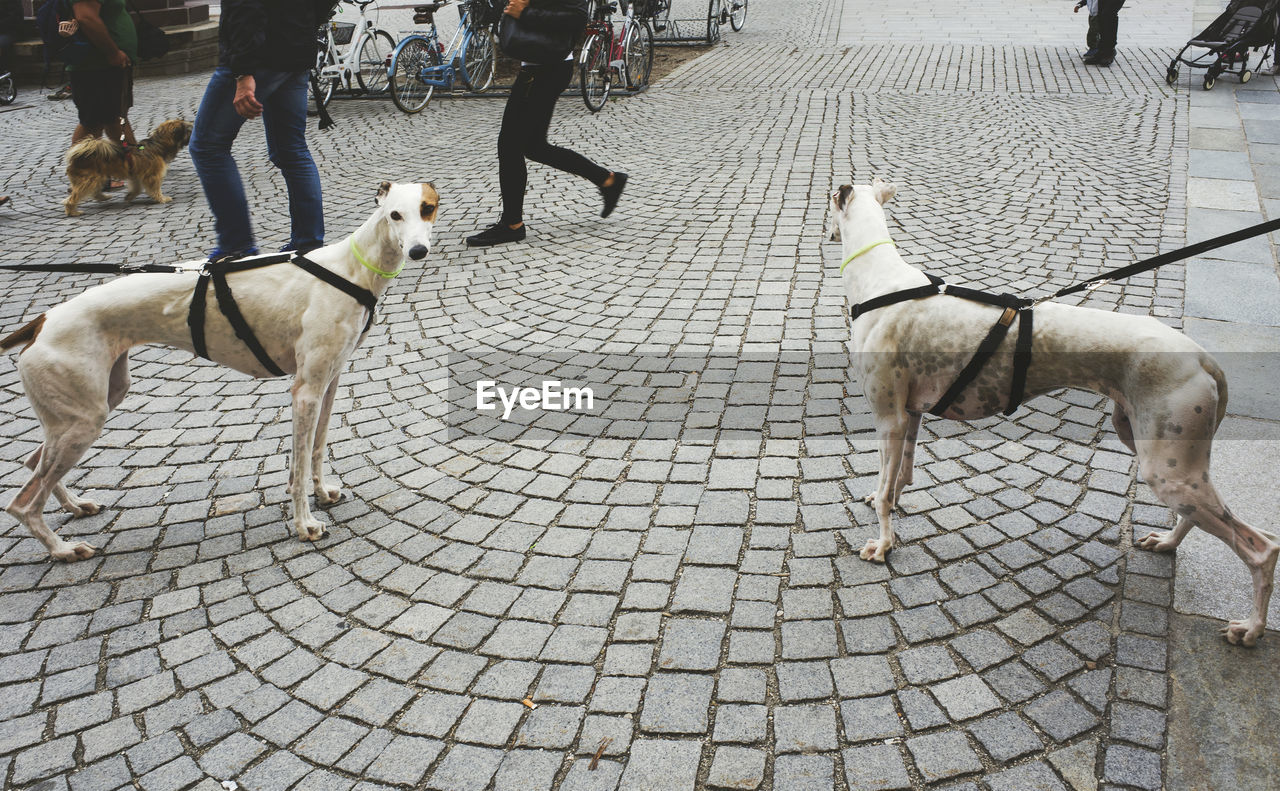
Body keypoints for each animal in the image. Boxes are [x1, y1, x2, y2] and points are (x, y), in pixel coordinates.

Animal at [3, 179, 440, 560]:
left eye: (427, 208)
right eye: (394, 214)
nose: (417, 251)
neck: (349, 269)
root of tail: (40, 322)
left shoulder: (329, 381)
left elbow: (316, 450)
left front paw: (323, 494)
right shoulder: (305, 391)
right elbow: (297, 465)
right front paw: (305, 525)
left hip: (93, 405)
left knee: (33, 465)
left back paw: (76, 506)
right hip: (83, 420)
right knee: (22, 502)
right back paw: (62, 549)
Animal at [62, 117, 192, 215]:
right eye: (187, 130)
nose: (192, 125)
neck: (157, 146)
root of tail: (78, 157)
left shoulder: (136, 175)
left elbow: (137, 188)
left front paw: (129, 196)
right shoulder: (152, 176)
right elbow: (155, 188)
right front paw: (162, 198)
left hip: (98, 176)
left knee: (93, 191)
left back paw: (103, 197)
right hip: (89, 179)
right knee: (73, 198)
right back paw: (72, 211)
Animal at [829, 175, 1280, 642]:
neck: (882, 280)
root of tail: (1203, 357)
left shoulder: (889, 418)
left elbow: (885, 493)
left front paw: (883, 545)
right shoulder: (910, 415)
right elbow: (899, 476)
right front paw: (890, 503)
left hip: (1167, 470)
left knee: (1263, 548)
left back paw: (1251, 628)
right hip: (1155, 448)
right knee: (1199, 516)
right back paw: (1168, 543)